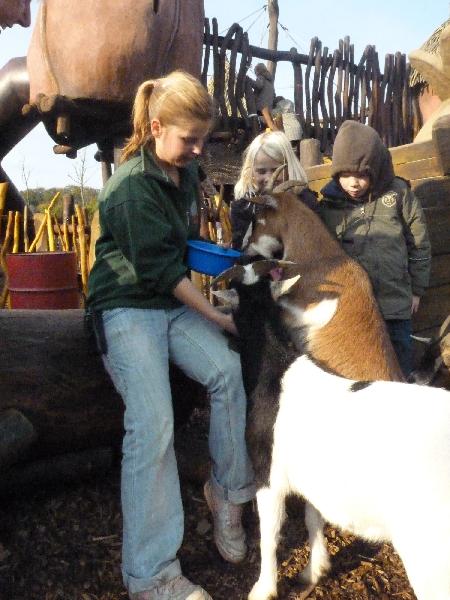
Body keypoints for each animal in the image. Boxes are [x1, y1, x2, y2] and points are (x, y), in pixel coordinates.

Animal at [213, 259, 450, 600]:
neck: (276, 373)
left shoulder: (268, 476)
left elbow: (269, 535)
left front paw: (263, 588)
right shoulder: (313, 478)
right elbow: (313, 519)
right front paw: (315, 571)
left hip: (430, 553)